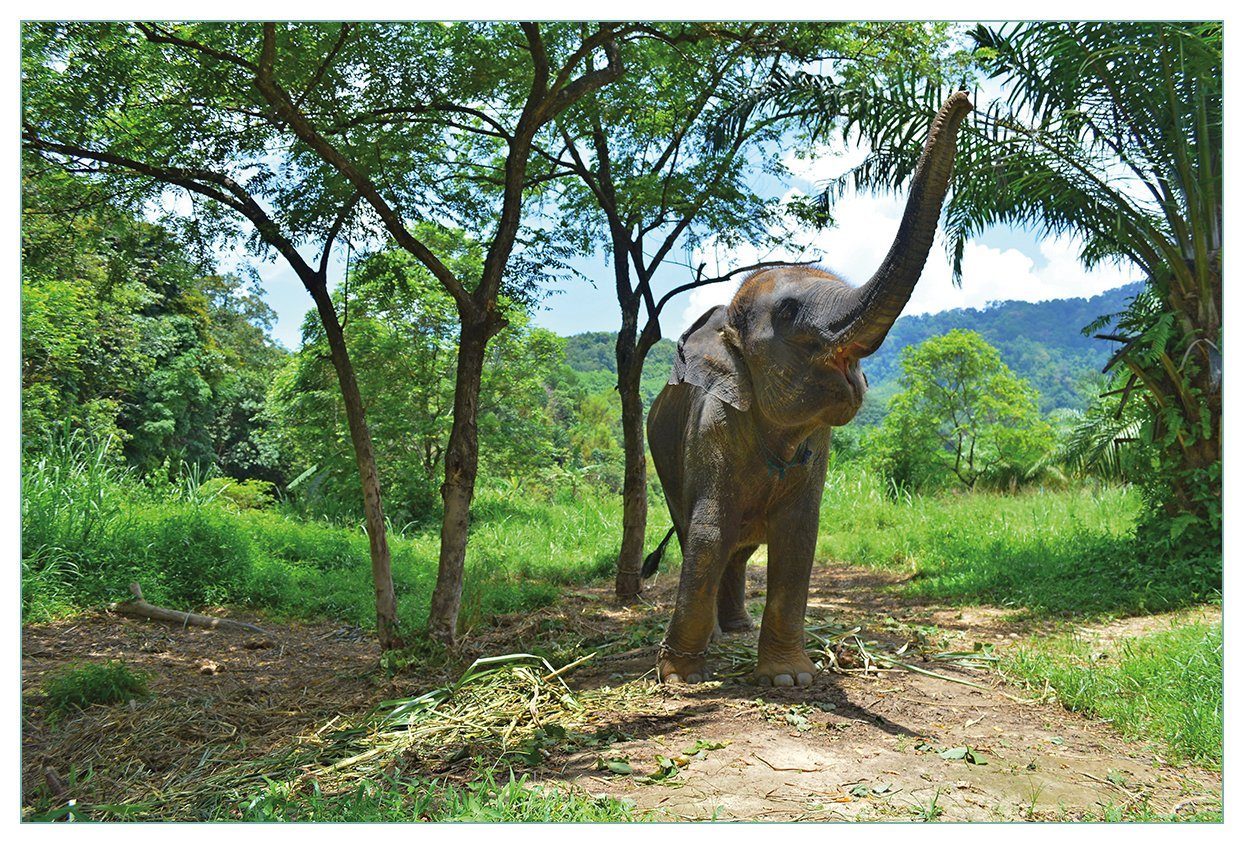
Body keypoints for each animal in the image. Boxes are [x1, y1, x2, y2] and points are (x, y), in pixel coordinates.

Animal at [646, 90, 975, 687]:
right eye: (788, 312)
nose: (961, 94)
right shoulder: (710, 429)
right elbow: (707, 534)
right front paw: (679, 678)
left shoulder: (816, 447)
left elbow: (799, 538)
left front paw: (789, 680)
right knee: (700, 535)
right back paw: (717, 637)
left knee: (741, 548)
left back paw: (736, 630)